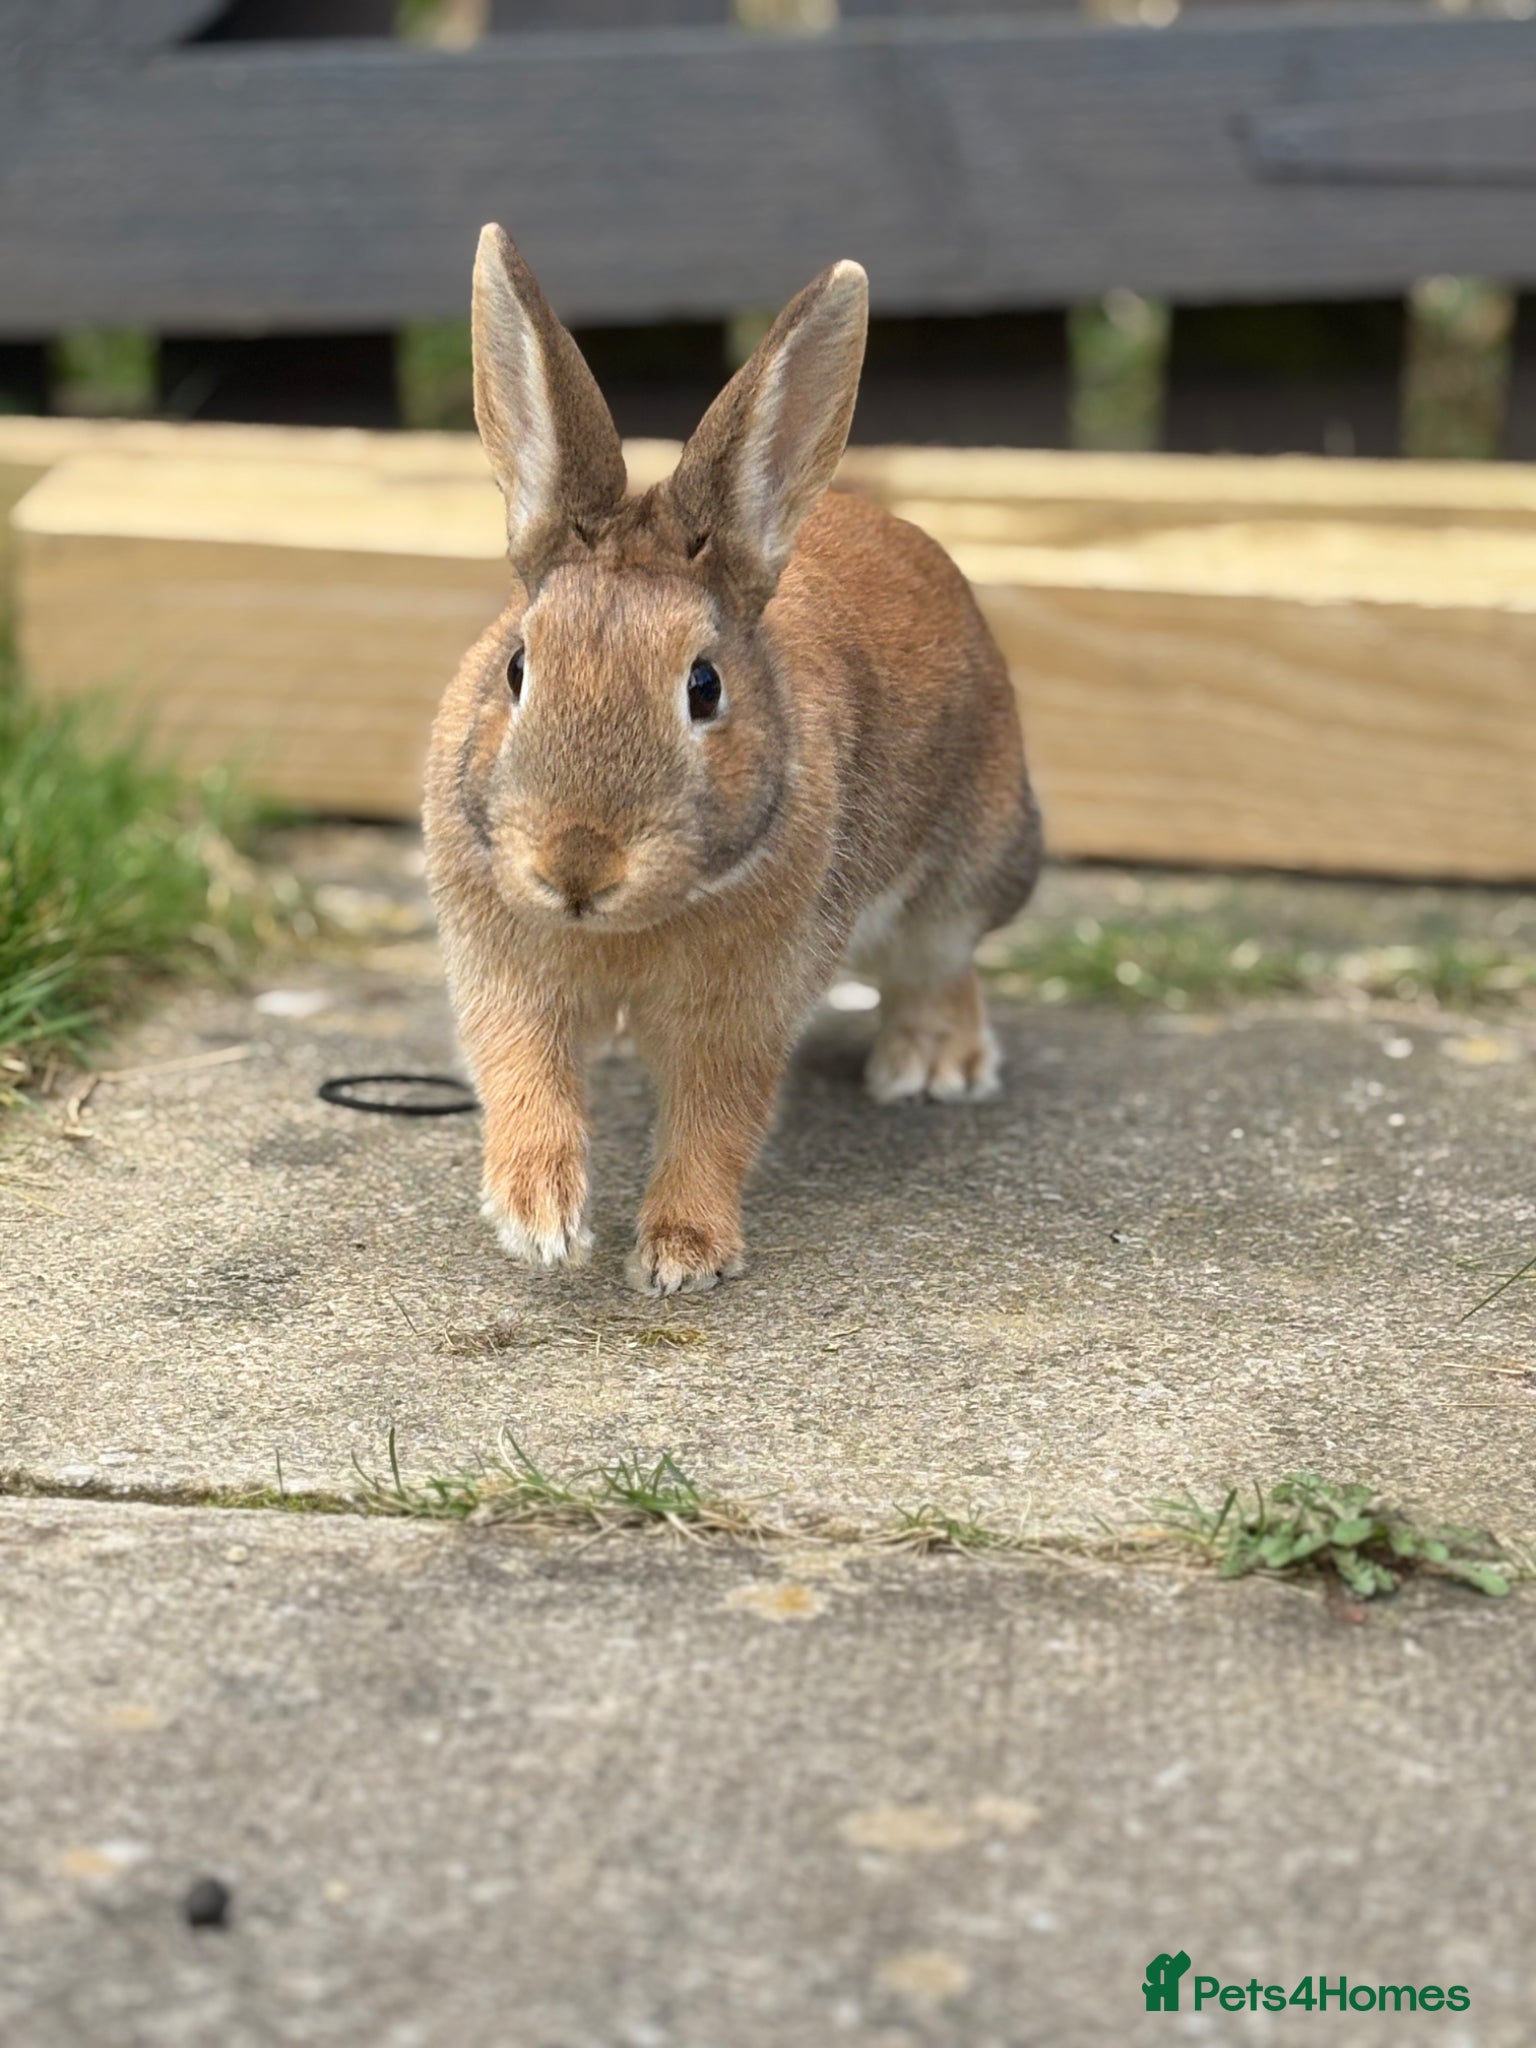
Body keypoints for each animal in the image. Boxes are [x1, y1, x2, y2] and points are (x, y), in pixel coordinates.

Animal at [423, 225, 1042, 1297]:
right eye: (516, 666)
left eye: (703, 687)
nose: (576, 866)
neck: (624, 925)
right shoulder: (505, 968)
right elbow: (522, 1073)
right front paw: (539, 1219)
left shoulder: (746, 1002)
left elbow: (717, 1117)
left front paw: (681, 1255)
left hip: (971, 873)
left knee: (939, 965)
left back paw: (931, 1068)